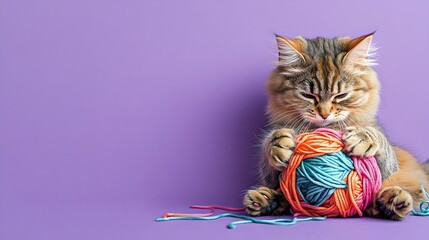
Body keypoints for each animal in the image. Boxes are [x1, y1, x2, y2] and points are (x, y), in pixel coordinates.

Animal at [242, 32, 428, 220]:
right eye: (308, 95)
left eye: (341, 95)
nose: (324, 114)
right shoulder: (271, 175)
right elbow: (269, 149)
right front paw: (278, 144)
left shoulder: (387, 166)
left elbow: (376, 138)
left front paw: (362, 138)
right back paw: (265, 201)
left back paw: (389, 203)